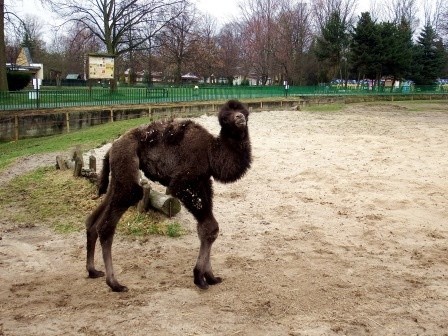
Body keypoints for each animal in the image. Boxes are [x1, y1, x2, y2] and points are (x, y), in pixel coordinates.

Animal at [85, 100, 252, 292]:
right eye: (225, 117)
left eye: (244, 112)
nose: (240, 118)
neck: (211, 152)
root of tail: (111, 148)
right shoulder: (185, 182)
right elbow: (209, 227)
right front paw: (199, 278)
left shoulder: (203, 180)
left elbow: (207, 228)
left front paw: (210, 276)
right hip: (127, 165)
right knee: (108, 223)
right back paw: (115, 284)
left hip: (119, 173)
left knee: (93, 220)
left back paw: (93, 271)